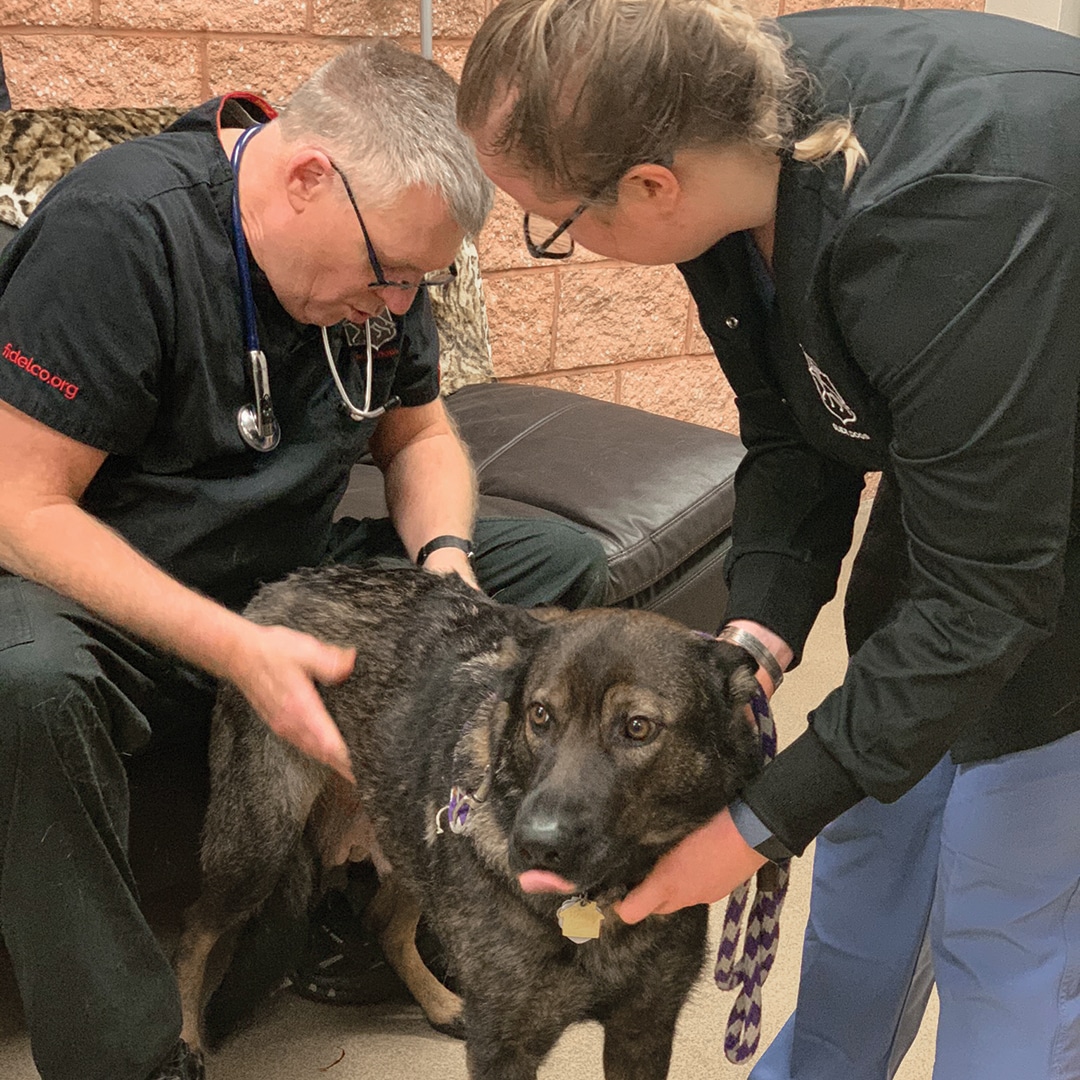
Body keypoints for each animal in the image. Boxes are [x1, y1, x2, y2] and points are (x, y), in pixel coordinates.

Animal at [174, 565, 760, 1080]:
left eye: (638, 727)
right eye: (540, 715)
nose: (535, 846)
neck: (596, 905)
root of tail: (280, 584)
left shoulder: (643, 1028)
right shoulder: (504, 1046)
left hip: (409, 834)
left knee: (384, 922)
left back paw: (439, 1004)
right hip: (259, 845)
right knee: (194, 929)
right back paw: (185, 1039)